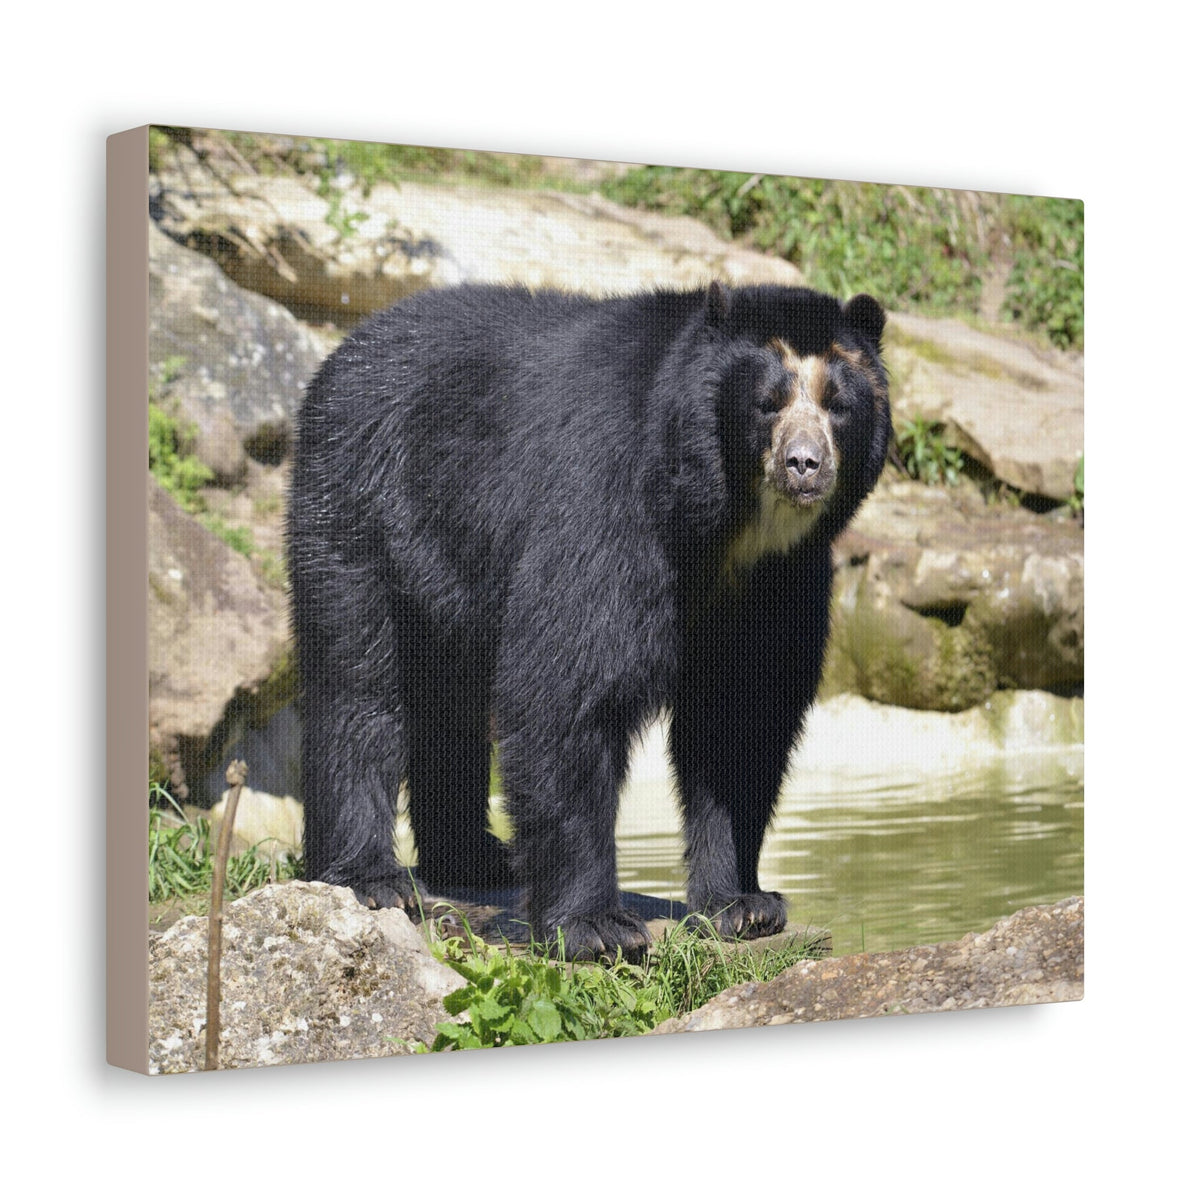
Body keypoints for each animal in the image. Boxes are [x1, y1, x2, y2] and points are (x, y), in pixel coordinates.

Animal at [288, 281, 890, 962]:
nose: (804, 464)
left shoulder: (782, 579)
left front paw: (745, 906)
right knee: (356, 682)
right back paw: (371, 878)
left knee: (448, 701)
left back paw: (476, 859)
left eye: (839, 406)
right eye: (767, 404)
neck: (728, 527)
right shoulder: (606, 501)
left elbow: (744, 717)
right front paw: (597, 927)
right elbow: (567, 688)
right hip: (362, 504)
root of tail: (345, 350)